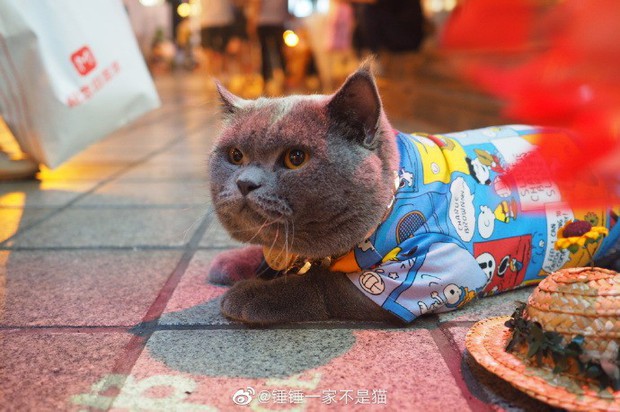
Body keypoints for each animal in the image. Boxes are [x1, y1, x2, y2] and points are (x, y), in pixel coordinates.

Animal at [207, 62, 620, 324]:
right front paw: (235, 262)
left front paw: (253, 295)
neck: (397, 193)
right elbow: (279, 254)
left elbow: (323, 284)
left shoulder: (434, 269)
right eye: (235, 155)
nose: (245, 183)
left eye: (296, 158)